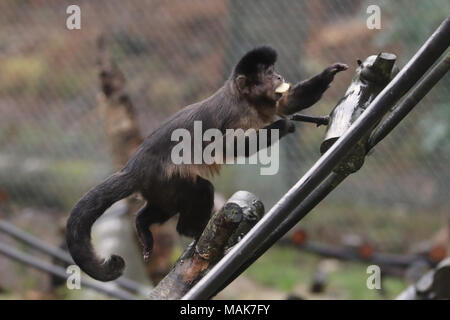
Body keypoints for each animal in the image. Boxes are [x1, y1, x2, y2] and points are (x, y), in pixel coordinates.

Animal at [67, 45, 348, 282]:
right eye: (269, 74)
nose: (279, 76)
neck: (248, 101)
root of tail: (133, 168)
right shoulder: (235, 114)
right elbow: (226, 147)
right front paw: (283, 125)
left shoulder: (267, 102)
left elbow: (288, 102)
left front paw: (329, 73)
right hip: (166, 179)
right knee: (199, 190)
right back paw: (192, 230)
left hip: (157, 189)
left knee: (162, 208)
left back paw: (143, 224)